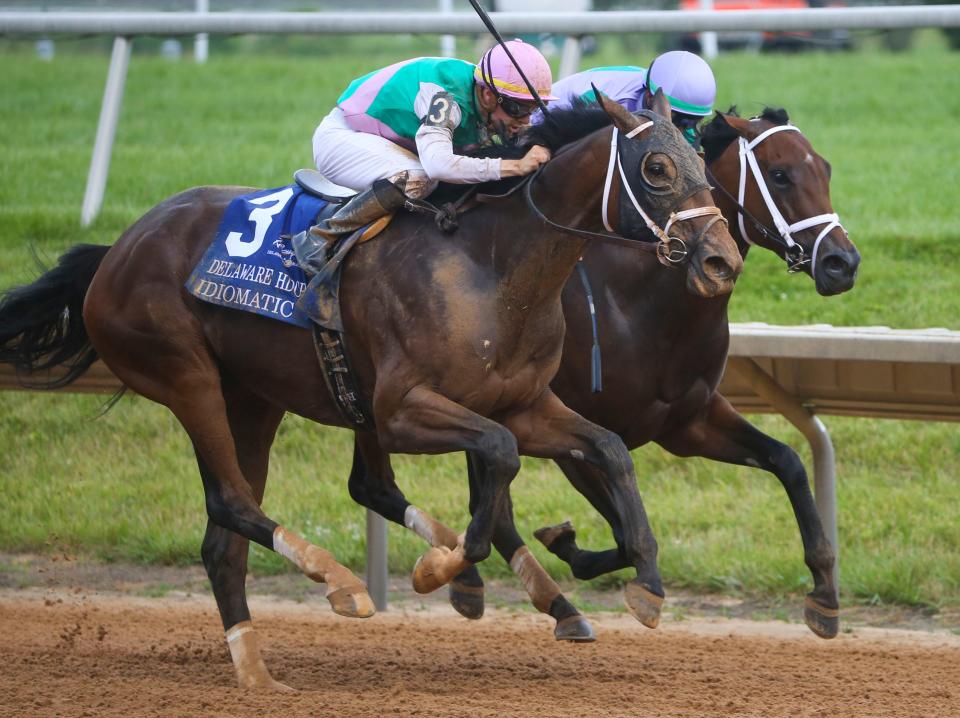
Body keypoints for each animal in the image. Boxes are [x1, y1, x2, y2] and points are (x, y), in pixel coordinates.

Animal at [0, 93, 744, 688]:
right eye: (656, 168)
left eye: (704, 165)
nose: (721, 261)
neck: (492, 263)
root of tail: (116, 251)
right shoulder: (401, 412)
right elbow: (499, 456)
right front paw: (440, 570)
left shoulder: (526, 403)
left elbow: (609, 449)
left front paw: (646, 587)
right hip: (185, 373)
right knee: (233, 503)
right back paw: (340, 583)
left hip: (254, 396)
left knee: (225, 540)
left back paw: (256, 671)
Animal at [350, 105, 864, 636]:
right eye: (781, 175)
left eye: (825, 170)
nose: (842, 262)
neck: (641, 300)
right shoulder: (572, 428)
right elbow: (613, 528)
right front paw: (571, 546)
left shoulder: (687, 422)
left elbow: (789, 461)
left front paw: (824, 593)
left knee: (377, 484)